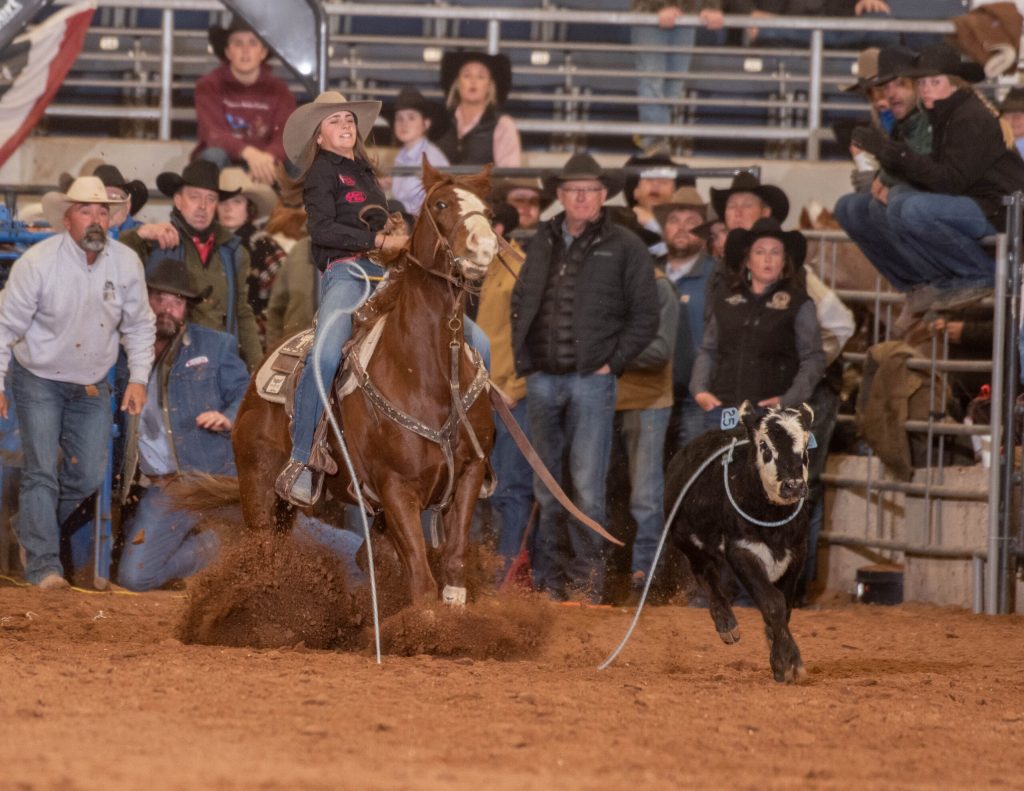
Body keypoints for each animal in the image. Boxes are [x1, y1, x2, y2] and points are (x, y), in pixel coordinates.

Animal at [229, 160, 499, 606]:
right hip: (260, 492)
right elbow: (422, 581)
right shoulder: (397, 488)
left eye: (489, 211)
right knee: (262, 556)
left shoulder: (468, 474)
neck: (427, 375)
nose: (484, 247)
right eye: (440, 205)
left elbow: (453, 564)